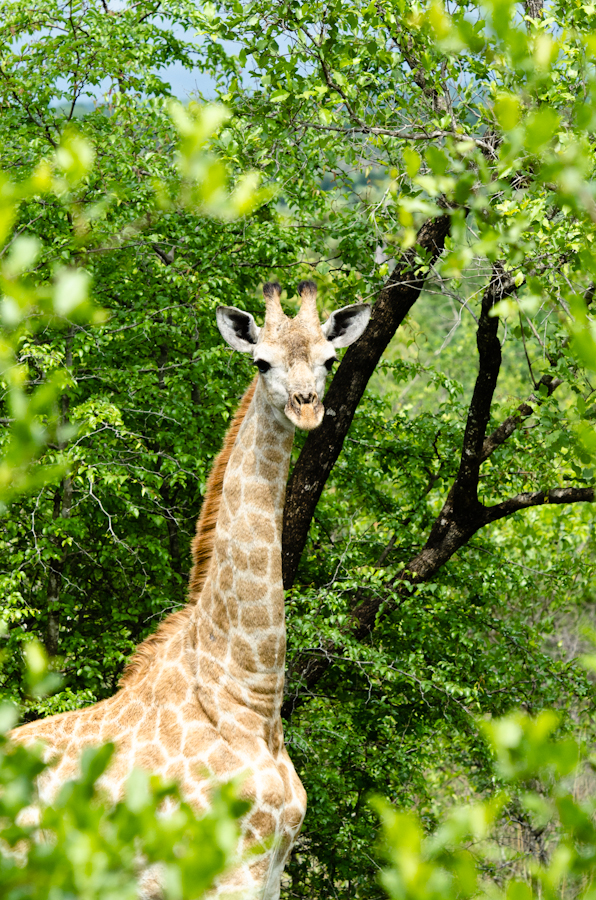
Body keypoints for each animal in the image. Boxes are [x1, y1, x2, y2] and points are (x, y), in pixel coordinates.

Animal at [10, 281, 371, 899]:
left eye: (329, 359)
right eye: (261, 361)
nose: (306, 407)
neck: (251, 699)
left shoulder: (272, 873)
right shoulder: (225, 874)